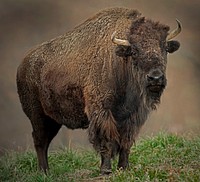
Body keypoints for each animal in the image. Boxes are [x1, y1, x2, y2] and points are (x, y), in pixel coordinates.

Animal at [16, 7, 181, 175]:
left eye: (164, 48)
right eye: (134, 51)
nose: (155, 78)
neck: (120, 62)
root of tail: (23, 65)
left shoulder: (132, 116)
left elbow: (126, 142)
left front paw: (124, 167)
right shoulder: (102, 111)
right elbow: (106, 140)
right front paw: (106, 170)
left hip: (53, 120)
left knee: (45, 140)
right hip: (37, 116)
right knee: (40, 140)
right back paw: (44, 171)